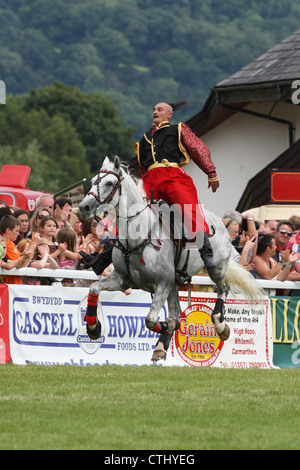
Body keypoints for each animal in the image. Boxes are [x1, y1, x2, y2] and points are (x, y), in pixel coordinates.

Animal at [79, 156, 262, 362]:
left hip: (215, 269)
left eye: (109, 183)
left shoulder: (162, 284)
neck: (139, 235)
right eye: (93, 180)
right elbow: (94, 288)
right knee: (177, 310)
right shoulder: (123, 279)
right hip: (175, 283)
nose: (84, 207)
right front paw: (93, 326)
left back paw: (220, 325)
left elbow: (151, 320)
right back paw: (161, 346)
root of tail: (220, 224)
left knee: (224, 289)